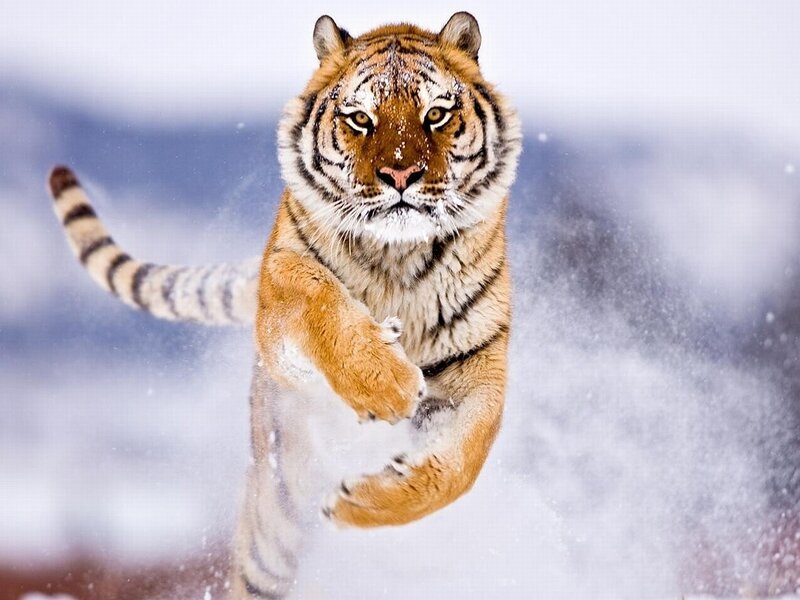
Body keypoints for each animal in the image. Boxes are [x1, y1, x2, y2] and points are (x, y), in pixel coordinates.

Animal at [46, 11, 521, 599]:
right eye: (360, 119)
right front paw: (386, 384)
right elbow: (315, 293)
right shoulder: (280, 299)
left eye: (436, 113)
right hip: (274, 522)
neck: (398, 255)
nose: (400, 175)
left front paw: (362, 502)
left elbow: (460, 465)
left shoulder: (477, 369)